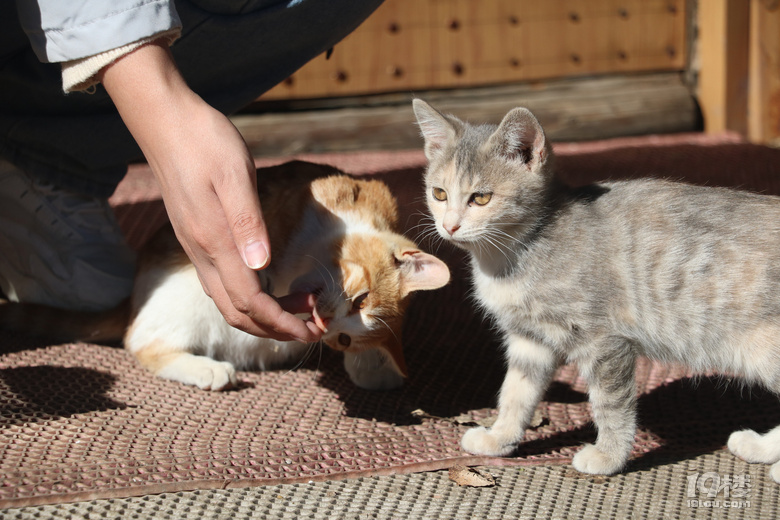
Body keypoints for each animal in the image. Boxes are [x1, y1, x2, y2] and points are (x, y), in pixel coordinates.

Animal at [1, 161, 450, 390]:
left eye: (343, 340)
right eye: (359, 299)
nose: (324, 324)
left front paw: (372, 370)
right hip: (183, 299)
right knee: (140, 340)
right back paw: (206, 369)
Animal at [414, 99, 780, 482]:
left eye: (481, 198)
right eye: (439, 193)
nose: (449, 225)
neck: (512, 256)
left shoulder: (604, 341)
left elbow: (609, 405)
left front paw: (609, 456)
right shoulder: (529, 339)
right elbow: (515, 393)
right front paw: (499, 437)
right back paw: (760, 448)